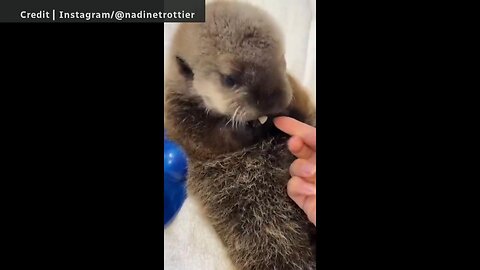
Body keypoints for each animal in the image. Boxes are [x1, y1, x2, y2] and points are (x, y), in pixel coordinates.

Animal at [164, 1, 316, 268]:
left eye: (282, 60)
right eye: (229, 79)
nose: (272, 98)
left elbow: (301, 102)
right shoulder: (177, 117)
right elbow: (209, 136)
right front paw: (254, 126)